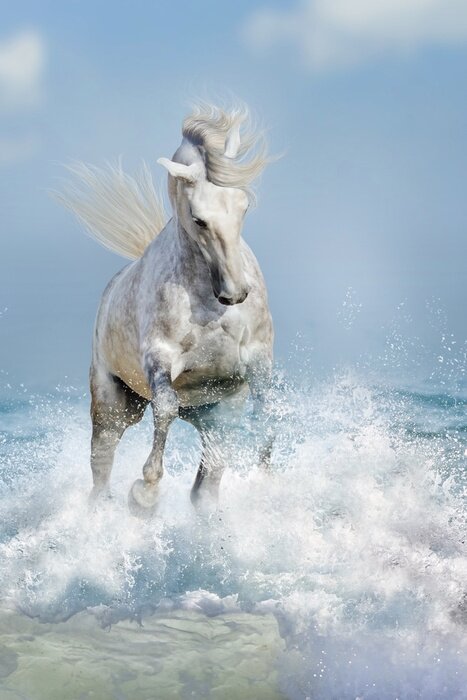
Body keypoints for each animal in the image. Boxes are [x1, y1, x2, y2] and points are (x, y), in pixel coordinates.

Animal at [58, 102, 274, 515]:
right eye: (199, 218)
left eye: (243, 206)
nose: (235, 293)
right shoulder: (160, 358)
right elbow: (166, 408)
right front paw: (145, 493)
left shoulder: (256, 359)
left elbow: (269, 408)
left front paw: (264, 476)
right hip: (114, 407)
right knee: (102, 466)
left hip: (216, 417)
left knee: (205, 486)